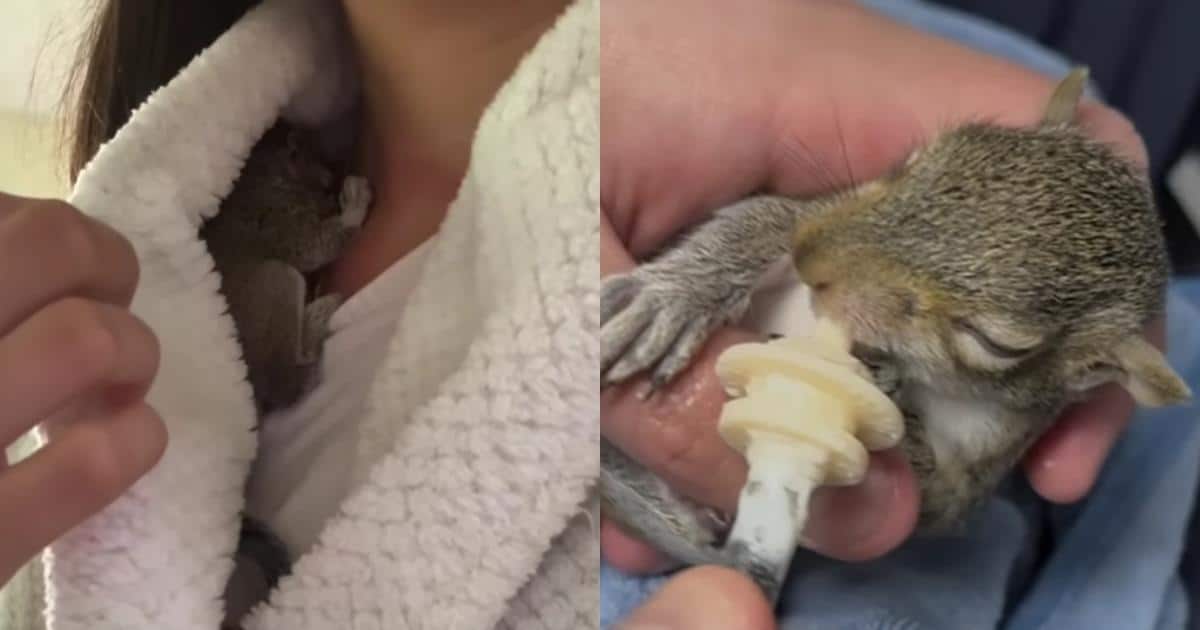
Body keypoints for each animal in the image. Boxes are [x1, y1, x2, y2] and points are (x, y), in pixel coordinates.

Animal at [599, 68, 1193, 597]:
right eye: (917, 160)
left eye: (998, 344)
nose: (808, 255)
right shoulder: (815, 207)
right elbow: (763, 218)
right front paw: (679, 296)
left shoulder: (973, 474)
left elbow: (931, 501)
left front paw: (887, 385)